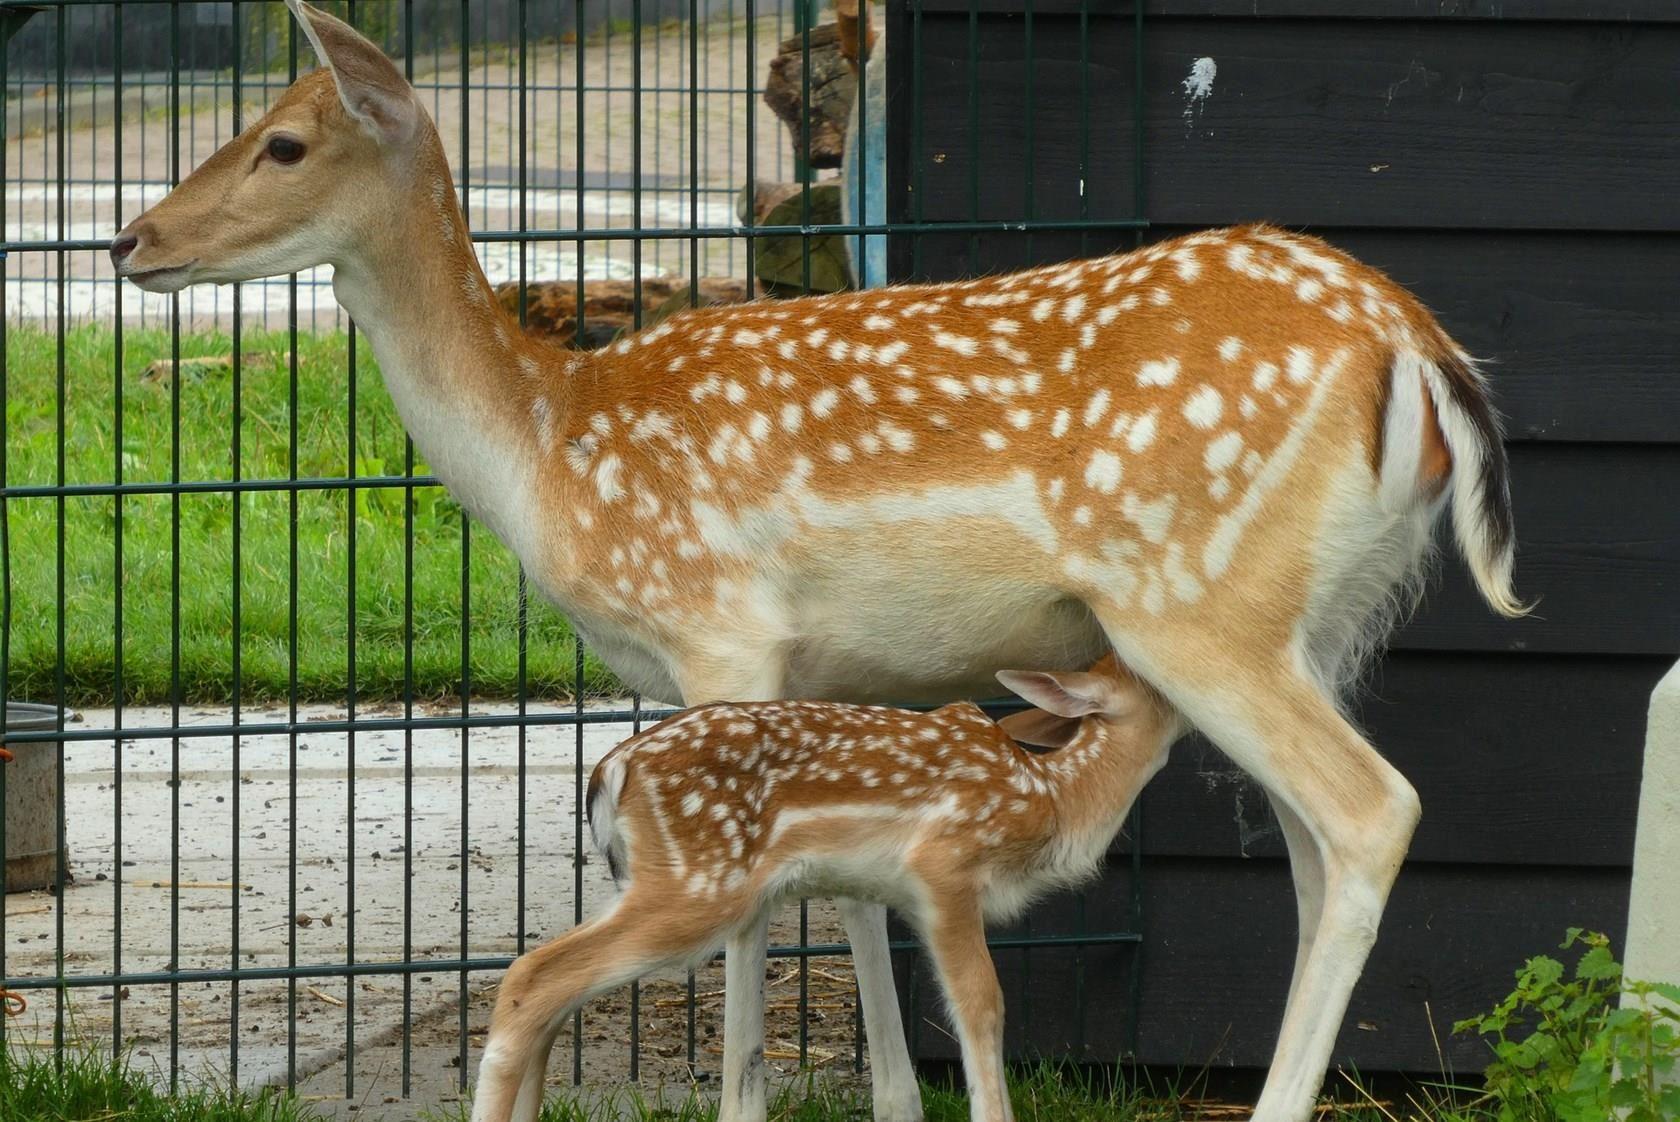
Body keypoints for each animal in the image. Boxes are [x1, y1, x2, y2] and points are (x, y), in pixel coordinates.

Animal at [470, 658, 1182, 1122]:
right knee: (532, 976)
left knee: (554, 986)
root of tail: (608, 772)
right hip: (700, 882)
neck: (1053, 801)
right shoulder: (944, 864)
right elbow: (982, 1003)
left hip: (665, 880)